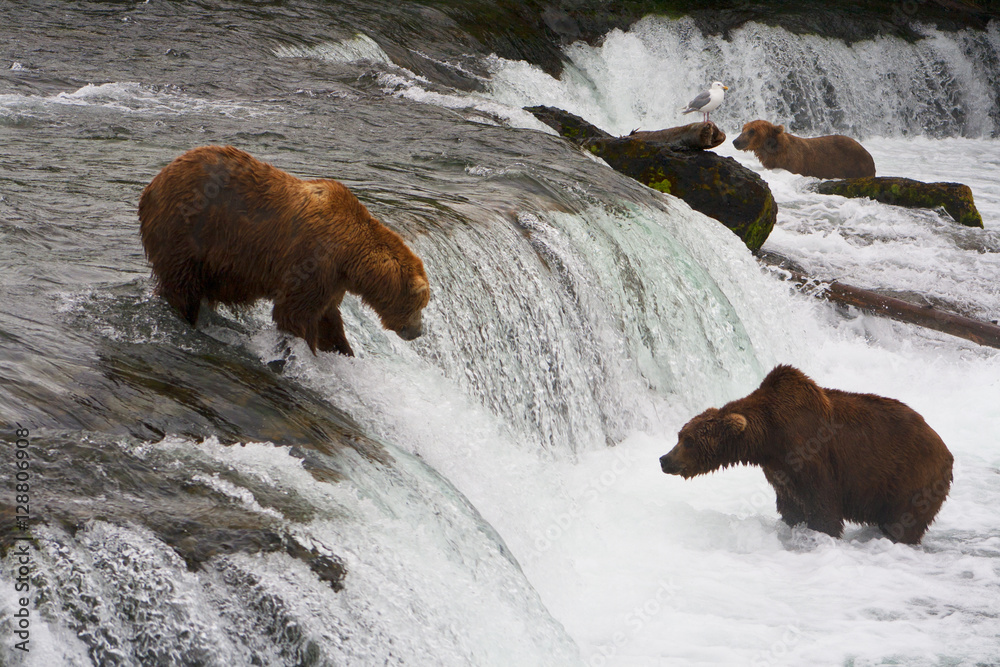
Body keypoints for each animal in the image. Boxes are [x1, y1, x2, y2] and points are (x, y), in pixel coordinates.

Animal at [139, 145, 430, 357]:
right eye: (419, 304)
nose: (418, 331)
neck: (350, 257)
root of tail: (152, 184)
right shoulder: (312, 260)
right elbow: (294, 313)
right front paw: (309, 350)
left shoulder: (332, 280)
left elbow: (327, 317)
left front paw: (342, 349)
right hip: (187, 228)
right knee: (181, 286)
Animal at [659, 365, 953, 544]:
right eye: (680, 435)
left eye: (688, 441)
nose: (664, 460)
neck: (769, 438)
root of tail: (945, 448)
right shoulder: (780, 471)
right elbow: (791, 506)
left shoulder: (811, 456)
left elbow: (823, 508)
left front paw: (823, 534)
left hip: (911, 478)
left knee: (904, 521)